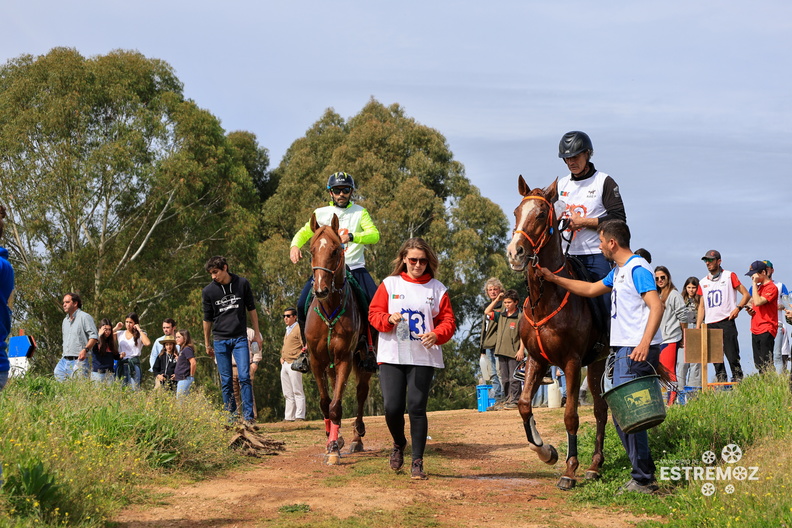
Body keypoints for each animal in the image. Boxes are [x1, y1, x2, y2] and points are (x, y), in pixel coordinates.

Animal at [306, 212, 374, 464]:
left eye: (335, 250)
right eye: (311, 250)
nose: (320, 290)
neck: (330, 309)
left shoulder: (345, 358)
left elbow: (336, 405)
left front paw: (334, 449)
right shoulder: (317, 361)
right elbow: (326, 403)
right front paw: (331, 440)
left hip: (362, 360)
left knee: (361, 393)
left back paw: (356, 438)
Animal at [504, 176, 608, 490]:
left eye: (540, 215)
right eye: (516, 211)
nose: (515, 252)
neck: (547, 298)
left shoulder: (572, 364)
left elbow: (571, 415)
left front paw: (570, 470)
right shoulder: (537, 360)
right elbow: (524, 405)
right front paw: (545, 451)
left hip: (598, 362)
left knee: (600, 411)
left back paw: (594, 466)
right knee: (600, 409)